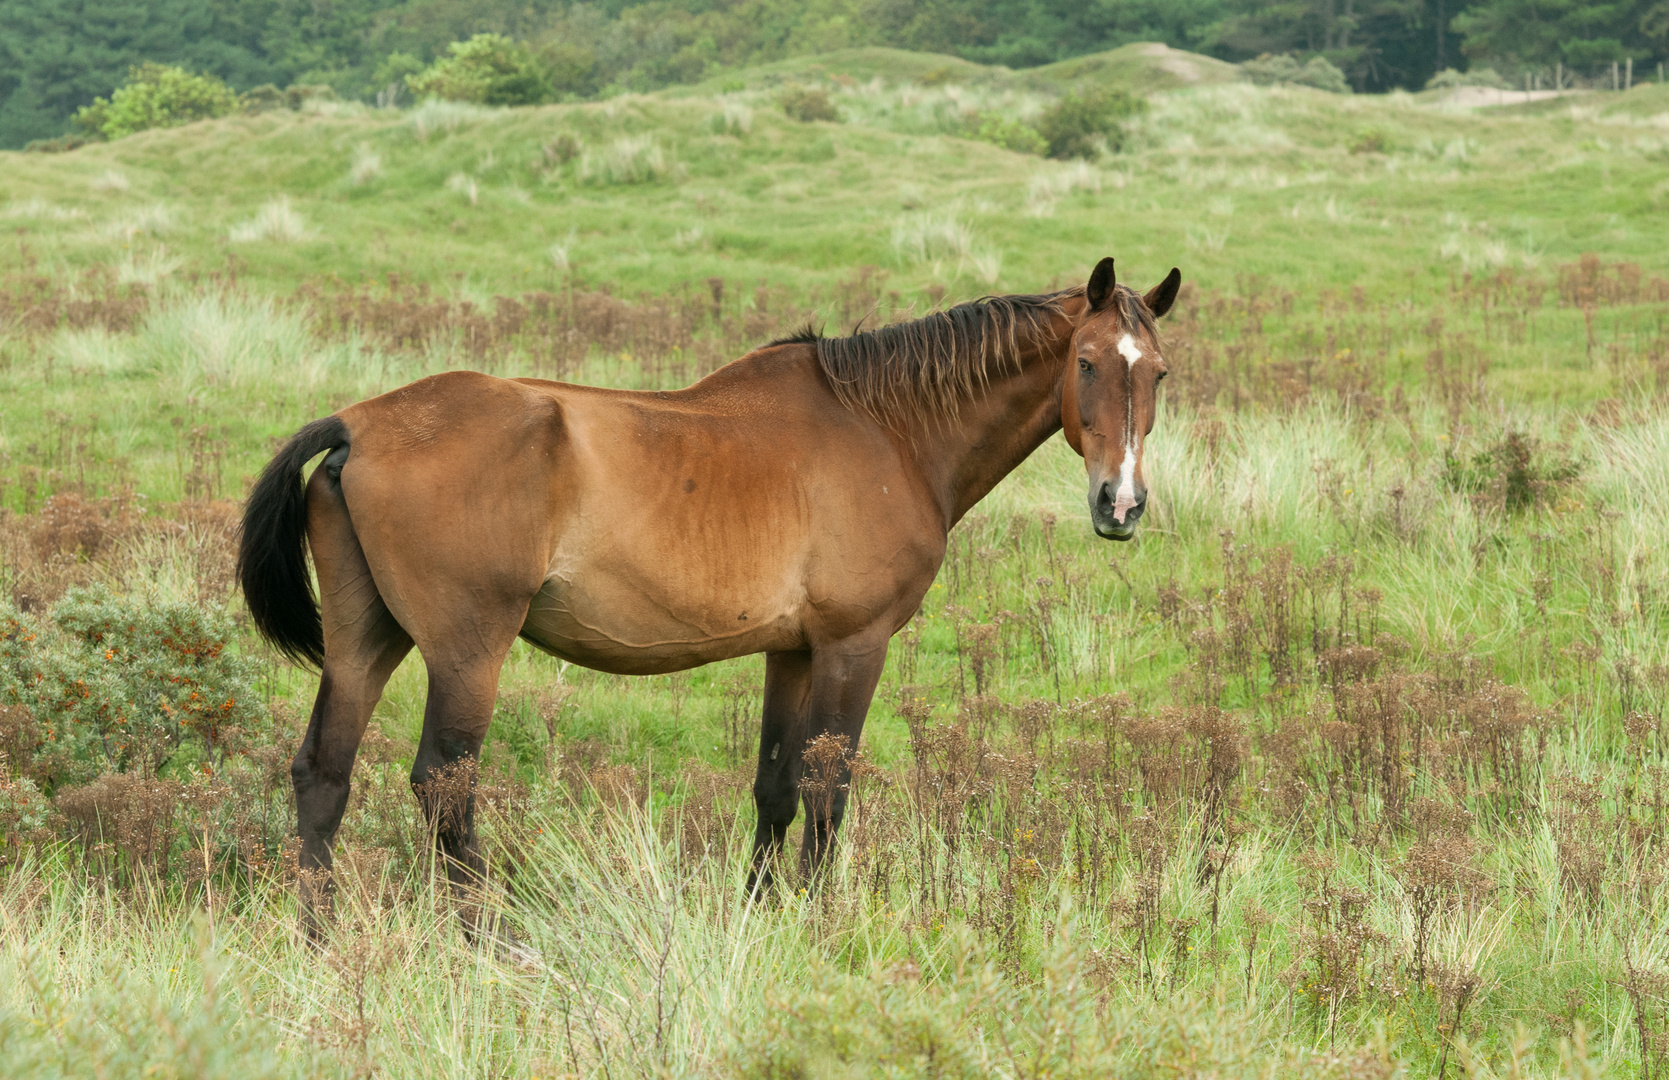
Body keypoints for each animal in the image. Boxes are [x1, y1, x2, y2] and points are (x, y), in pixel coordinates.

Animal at [238, 257, 1174, 934]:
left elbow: (776, 788)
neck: (886, 429)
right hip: (467, 652)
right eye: (1086, 363)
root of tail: (357, 426)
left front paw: (758, 915)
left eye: (1158, 374)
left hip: (366, 641)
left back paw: (319, 937)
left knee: (323, 775)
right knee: (444, 788)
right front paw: (816, 924)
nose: (1120, 505)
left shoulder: (791, 652)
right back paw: (487, 939)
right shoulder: (852, 645)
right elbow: (827, 791)